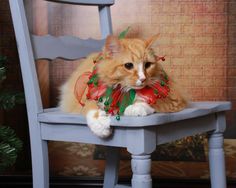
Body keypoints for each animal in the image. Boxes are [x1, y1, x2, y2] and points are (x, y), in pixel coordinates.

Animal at [59, 34, 188, 138]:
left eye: (147, 65)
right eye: (128, 65)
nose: (143, 78)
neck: (123, 90)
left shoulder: (174, 98)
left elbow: (150, 100)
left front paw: (135, 108)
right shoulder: (86, 97)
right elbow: (90, 107)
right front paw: (100, 125)